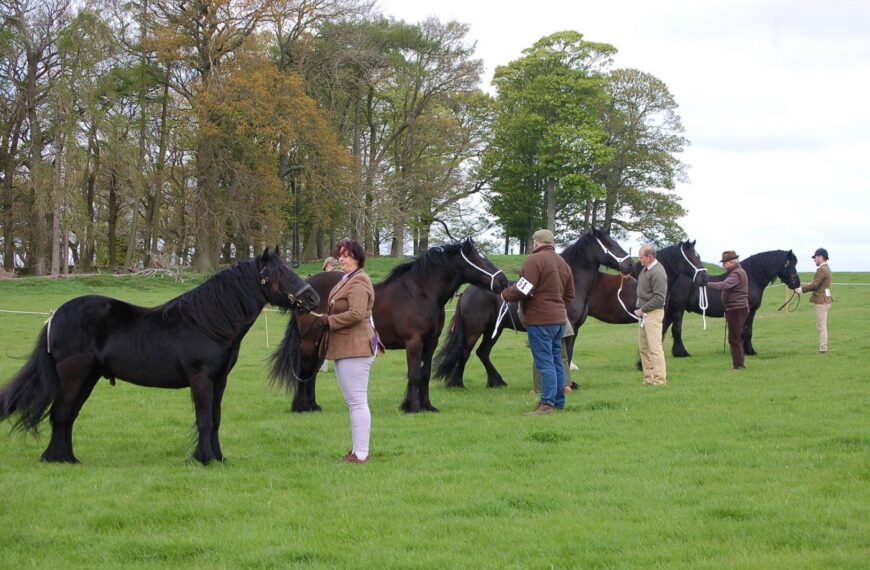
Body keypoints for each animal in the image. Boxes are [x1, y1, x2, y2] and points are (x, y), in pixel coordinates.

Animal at [0, 248, 319, 464]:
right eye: (280, 274)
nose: (313, 297)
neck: (208, 323)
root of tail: (55, 316)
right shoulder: (201, 379)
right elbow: (204, 420)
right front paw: (203, 459)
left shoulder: (219, 382)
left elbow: (215, 419)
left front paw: (218, 457)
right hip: (73, 376)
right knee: (61, 413)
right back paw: (57, 458)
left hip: (88, 378)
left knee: (68, 416)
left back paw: (67, 458)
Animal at [271, 238, 509, 413]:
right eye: (480, 261)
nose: (504, 282)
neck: (421, 293)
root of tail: (304, 293)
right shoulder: (414, 342)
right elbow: (414, 374)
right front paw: (412, 407)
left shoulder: (430, 343)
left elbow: (425, 374)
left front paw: (427, 406)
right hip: (310, 341)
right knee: (305, 370)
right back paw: (301, 407)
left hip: (322, 341)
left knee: (311, 372)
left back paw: (313, 405)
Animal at [433, 229, 634, 389]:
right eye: (609, 244)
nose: (630, 264)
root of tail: (466, 292)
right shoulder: (567, 328)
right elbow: (565, 356)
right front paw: (569, 384)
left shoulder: (574, 329)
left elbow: (567, 355)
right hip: (474, 330)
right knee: (465, 352)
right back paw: (458, 383)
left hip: (493, 330)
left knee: (482, 353)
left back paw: (496, 382)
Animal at [667, 249, 800, 357]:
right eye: (788, 262)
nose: (796, 283)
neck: (751, 277)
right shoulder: (748, 310)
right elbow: (743, 330)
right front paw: (746, 351)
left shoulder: (752, 311)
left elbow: (748, 331)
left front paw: (749, 350)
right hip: (678, 309)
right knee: (676, 330)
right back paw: (682, 353)